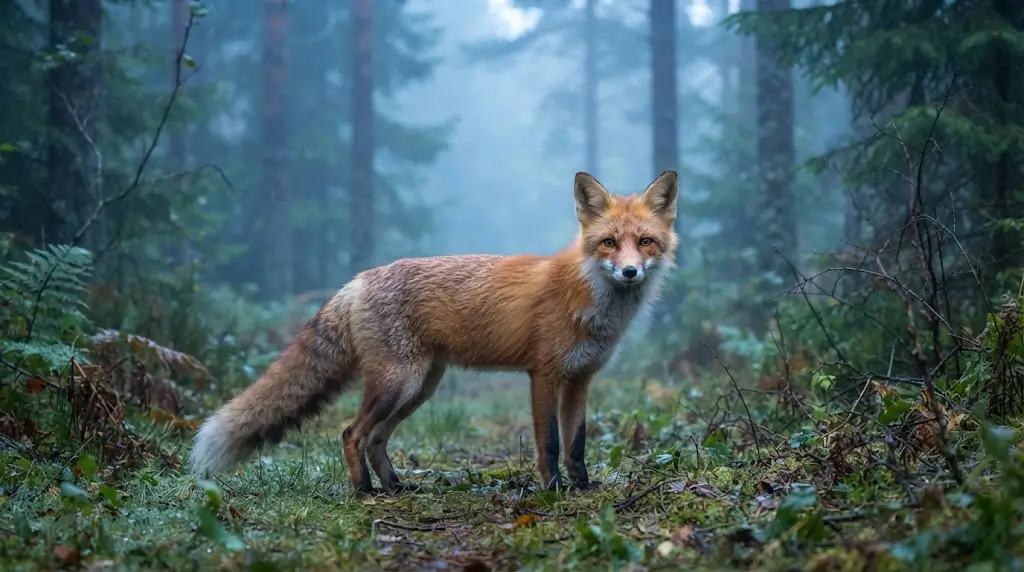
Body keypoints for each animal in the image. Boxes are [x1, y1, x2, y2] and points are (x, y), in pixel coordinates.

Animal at [189, 170, 679, 494]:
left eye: (645, 242)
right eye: (609, 243)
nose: (631, 272)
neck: (590, 301)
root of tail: (358, 279)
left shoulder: (580, 379)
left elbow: (577, 442)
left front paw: (584, 486)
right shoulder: (543, 375)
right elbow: (551, 443)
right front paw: (554, 488)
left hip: (420, 388)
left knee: (375, 438)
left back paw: (395, 486)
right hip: (398, 383)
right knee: (351, 433)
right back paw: (364, 492)